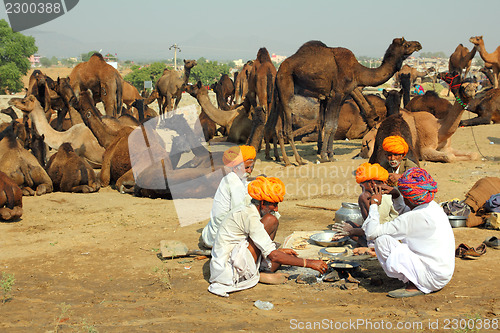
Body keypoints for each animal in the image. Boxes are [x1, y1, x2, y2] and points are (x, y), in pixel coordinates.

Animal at [274, 37, 422, 165]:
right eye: (407, 44)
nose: (418, 44)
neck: (357, 71)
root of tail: (279, 69)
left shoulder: (342, 97)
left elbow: (334, 126)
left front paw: (331, 156)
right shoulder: (336, 94)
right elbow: (329, 126)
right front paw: (324, 157)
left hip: (280, 96)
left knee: (278, 128)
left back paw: (285, 160)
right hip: (286, 88)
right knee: (287, 128)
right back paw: (298, 160)